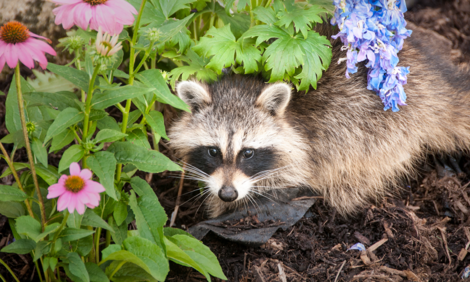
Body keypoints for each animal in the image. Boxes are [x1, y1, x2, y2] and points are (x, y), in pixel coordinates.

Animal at [168, 23, 470, 217]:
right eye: (213, 151)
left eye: (248, 153)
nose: (228, 194)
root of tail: (431, 81)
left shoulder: (309, 147)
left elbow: (287, 178)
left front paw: (225, 206)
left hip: (381, 130)